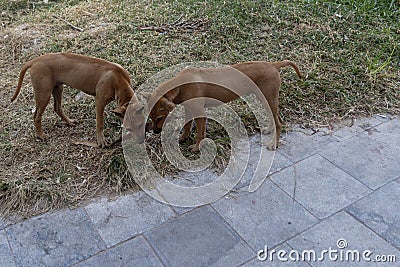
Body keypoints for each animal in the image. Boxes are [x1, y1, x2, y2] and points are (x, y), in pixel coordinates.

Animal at [10, 52, 145, 148]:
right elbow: (99, 123)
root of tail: (34, 61)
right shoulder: (99, 102)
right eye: (129, 129)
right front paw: (101, 140)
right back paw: (41, 135)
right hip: (44, 94)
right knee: (36, 116)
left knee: (57, 108)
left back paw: (69, 122)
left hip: (58, 88)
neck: (118, 80)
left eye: (140, 125)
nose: (140, 141)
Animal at [146, 61, 300, 152]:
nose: (155, 132)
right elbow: (187, 125)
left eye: (159, 117)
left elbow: (200, 134)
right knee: (273, 117)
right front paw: (183, 137)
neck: (180, 84)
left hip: (269, 97)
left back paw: (274, 143)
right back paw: (269, 130)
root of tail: (273, 65)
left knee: (279, 121)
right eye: (151, 118)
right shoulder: (188, 109)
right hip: (265, 98)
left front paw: (196, 147)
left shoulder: (200, 113)